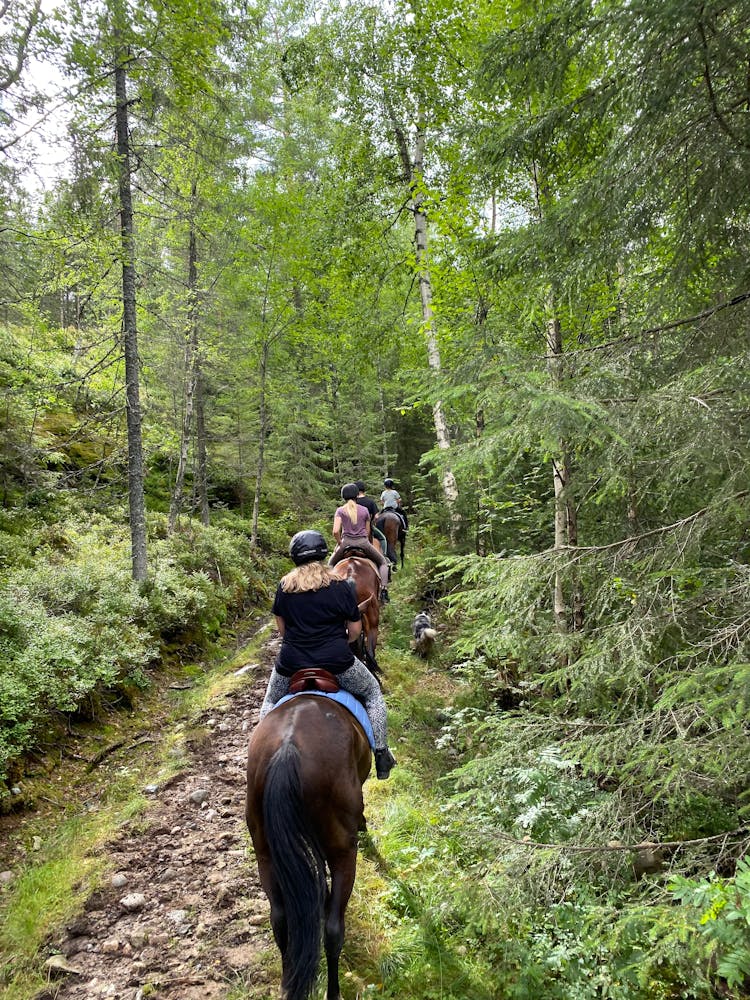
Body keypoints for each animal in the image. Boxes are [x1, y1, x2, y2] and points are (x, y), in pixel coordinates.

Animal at [247, 696, 374, 1000]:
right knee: (333, 929)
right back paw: (333, 992)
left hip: (265, 854)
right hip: (343, 851)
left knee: (281, 921)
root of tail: (287, 750)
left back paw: (287, 984)